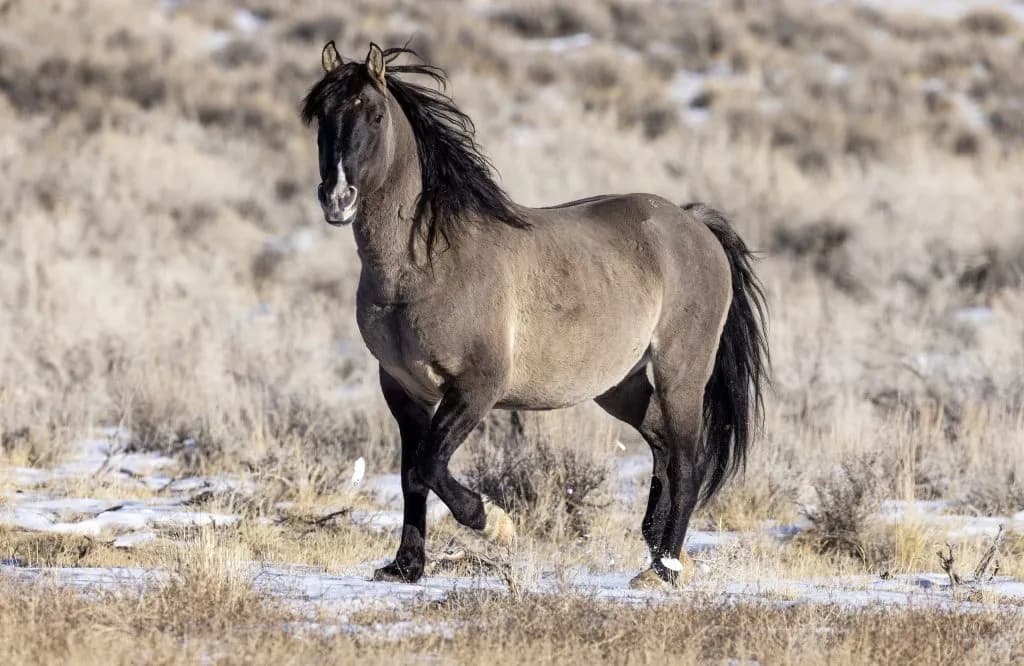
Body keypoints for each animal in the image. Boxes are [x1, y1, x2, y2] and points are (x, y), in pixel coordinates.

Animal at [301, 42, 769, 589]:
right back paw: (655, 548)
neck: (427, 261)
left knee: (688, 463)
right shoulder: (402, 390)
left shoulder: (477, 387)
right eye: (321, 115)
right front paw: (404, 567)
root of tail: (692, 222)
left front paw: (495, 523)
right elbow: (409, 474)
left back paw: (666, 568)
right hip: (621, 384)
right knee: (661, 445)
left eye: (373, 114)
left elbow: (428, 465)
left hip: (682, 372)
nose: (337, 199)